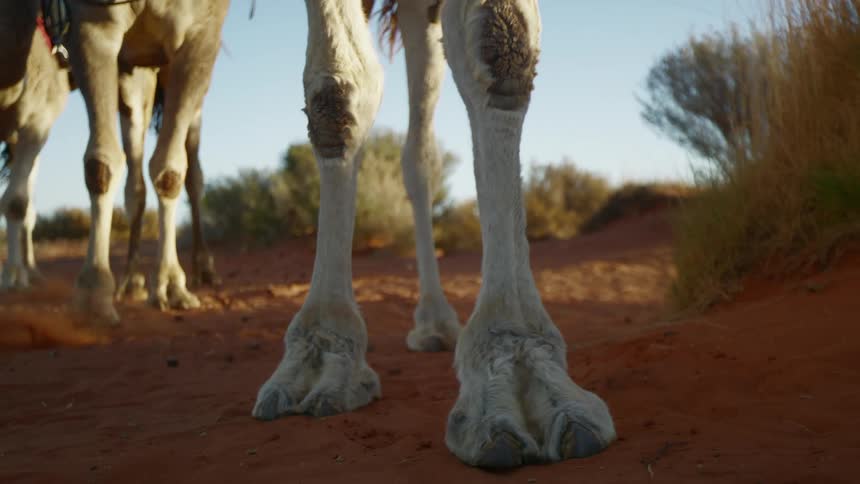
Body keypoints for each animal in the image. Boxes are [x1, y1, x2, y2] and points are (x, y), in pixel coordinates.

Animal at [65, 0, 229, 322]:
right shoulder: (90, 24)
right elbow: (101, 165)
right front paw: (93, 293)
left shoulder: (201, 34)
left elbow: (170, 170)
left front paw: (170, 285)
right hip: (137, 76)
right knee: (135, 176)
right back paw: (131, 280)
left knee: (194, 172)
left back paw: (204, 268)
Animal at [253, 0, 617, 468]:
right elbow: (335, 90)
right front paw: (322, 350)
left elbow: (503, 40)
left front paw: (521, 368)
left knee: (422, 148)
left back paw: (439, 323)